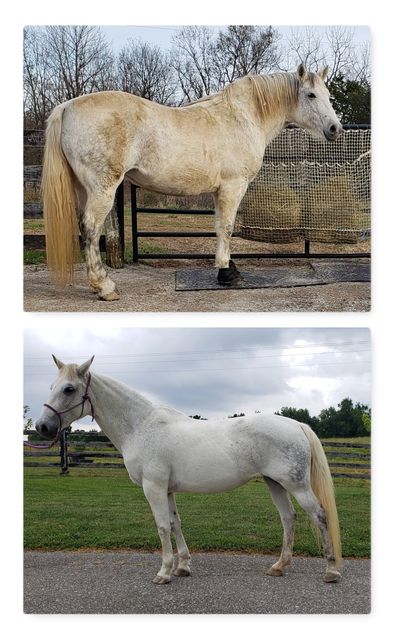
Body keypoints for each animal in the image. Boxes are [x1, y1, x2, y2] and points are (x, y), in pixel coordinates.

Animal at [35, 356, 342, 584]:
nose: (42, 426)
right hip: (274, 482)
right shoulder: (167, 490)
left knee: (319, 515)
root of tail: (297, 425)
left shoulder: (154, 487)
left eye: (69, 388)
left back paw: (331, 570)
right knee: (288, 518)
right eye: (51, 385)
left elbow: (161, 526)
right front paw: (183, 566)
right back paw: (279, 566)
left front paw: (164, 572)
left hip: (296, 484)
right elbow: (175, 524)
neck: (140, 426)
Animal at [41, 64, 342, 301]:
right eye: (310, 94)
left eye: (328, 95)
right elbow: (227, 228)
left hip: (84, 189)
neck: (243, 117)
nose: (335, 129)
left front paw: (227, 269)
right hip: (102, 189)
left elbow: (219, 227)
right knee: (91, 229)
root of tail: (67, 107)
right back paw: (105, 287)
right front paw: (227, 273)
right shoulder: (233, 187)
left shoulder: (220, 191)